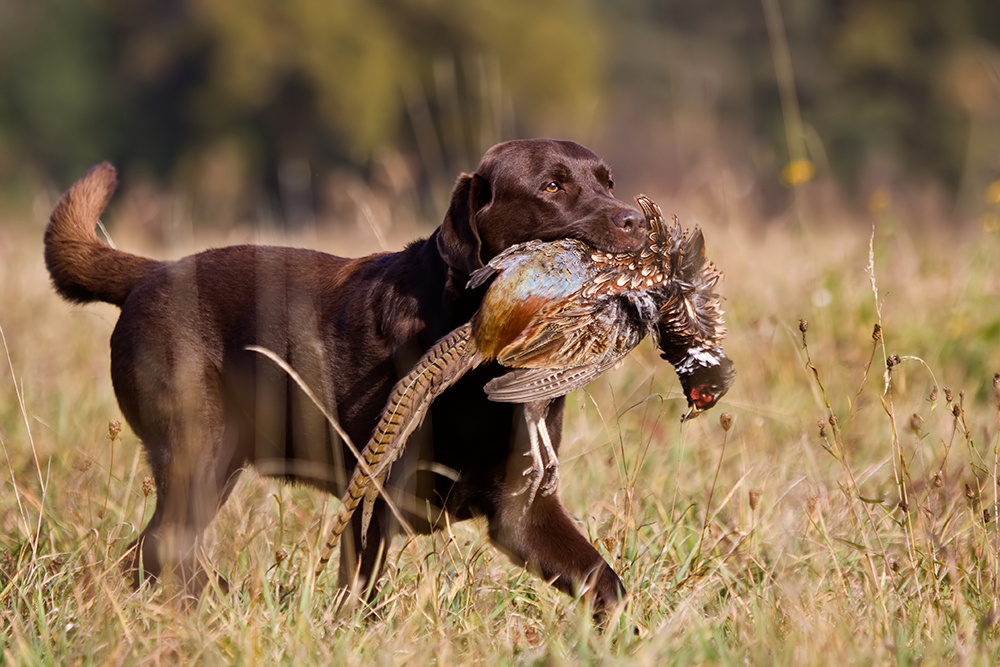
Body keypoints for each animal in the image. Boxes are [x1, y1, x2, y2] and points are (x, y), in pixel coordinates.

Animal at [45, 140, 648, 612]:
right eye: (552, 185)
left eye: (608, 182)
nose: (637, 220)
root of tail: (151, 272)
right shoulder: (377, 492)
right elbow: (361, 591)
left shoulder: (521, 510)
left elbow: (607, 583)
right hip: (199, 447)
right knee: (162, 548)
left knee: (149, 553)